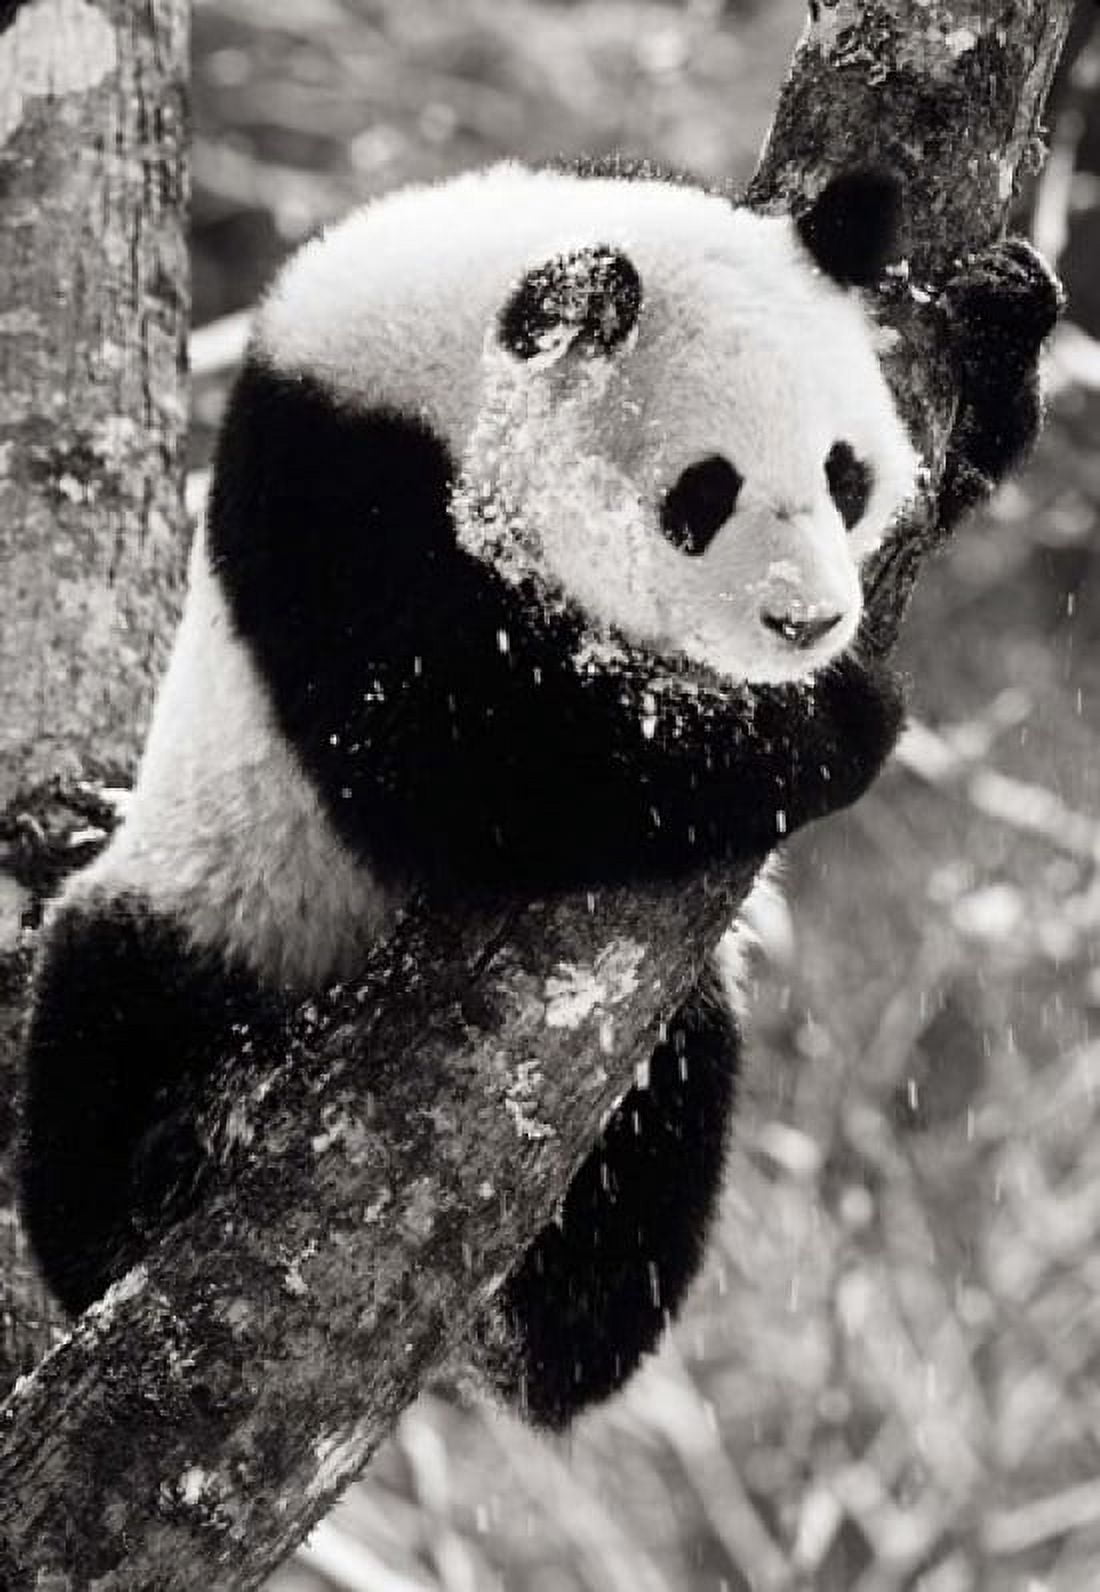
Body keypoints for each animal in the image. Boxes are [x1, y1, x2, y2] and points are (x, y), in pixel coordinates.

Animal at [19, 160, 1059, 1429]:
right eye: (701, 494)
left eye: (841, 470)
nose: (807, 621)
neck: (440, 339)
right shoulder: (340, 487)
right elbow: (463, 758)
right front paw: (826, 724)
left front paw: (998, 320)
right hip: (220, 892)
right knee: (102, 1046)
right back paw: (181, 1144)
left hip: (667, 1047)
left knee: (650, 1171)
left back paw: (545, 1324)